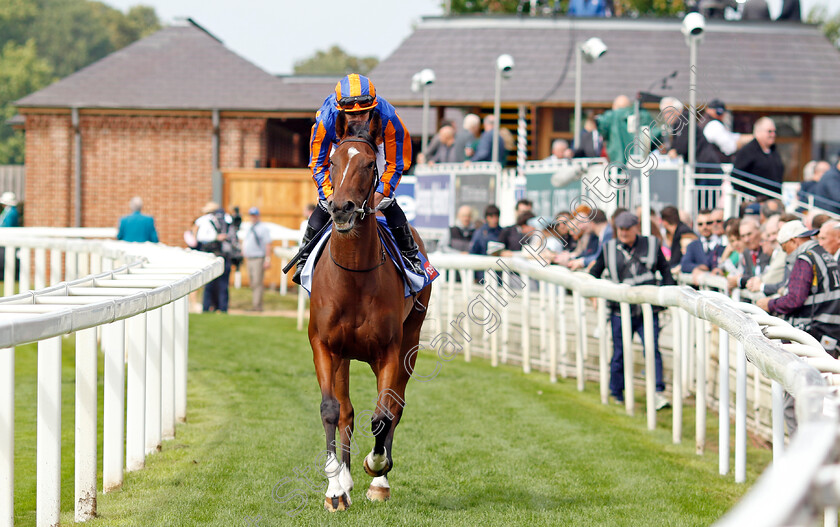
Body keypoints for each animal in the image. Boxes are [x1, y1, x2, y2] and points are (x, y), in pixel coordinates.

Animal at [306, 110, 430, 512]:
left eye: (368, 165)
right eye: (333, 162)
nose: (341, 208)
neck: (354, 277)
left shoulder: (389, 350)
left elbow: (383, 415)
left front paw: (376, 467)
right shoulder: (324, 345)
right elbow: (332, 409)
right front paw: (335, 487)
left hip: (411, 340)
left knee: (394, 408)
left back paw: (380, 480)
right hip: (344, 355)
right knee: (346, 409)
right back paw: (344, 482)